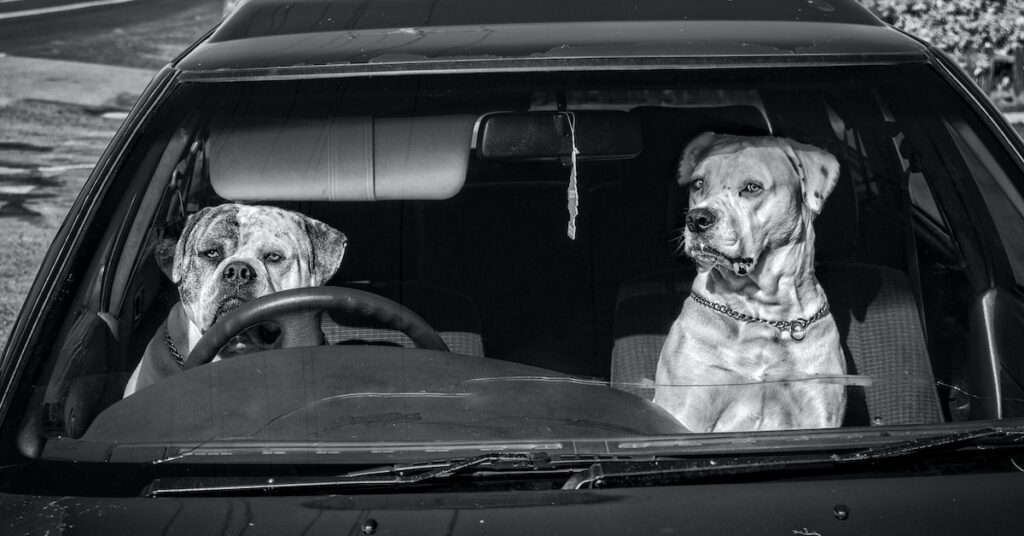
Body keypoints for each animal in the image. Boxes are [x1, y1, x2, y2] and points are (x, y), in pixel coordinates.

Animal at [655, 132, 847, 434]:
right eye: (698, 183)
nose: (696, 219)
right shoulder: (688, 407)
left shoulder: (819, 408)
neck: (763, 312)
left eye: (752, 187)